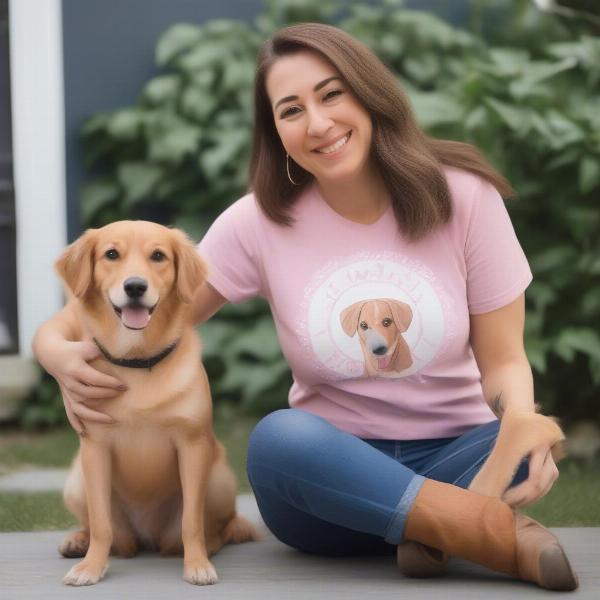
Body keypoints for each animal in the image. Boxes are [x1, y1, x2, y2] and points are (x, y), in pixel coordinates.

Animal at [52, 220, 256, 584]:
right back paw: (78, 541)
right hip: (76, 481)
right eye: (111, 254)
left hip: (219, 479)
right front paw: (91, 567)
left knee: (222, 526)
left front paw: (198, 564)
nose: (135, 286)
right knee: (106, 532)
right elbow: (101, 523)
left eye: (158, 256)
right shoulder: (95, 449)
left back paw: (212, 545)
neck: (138, 362)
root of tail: (145, 536)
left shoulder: (192, 446)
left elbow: (192, 523)